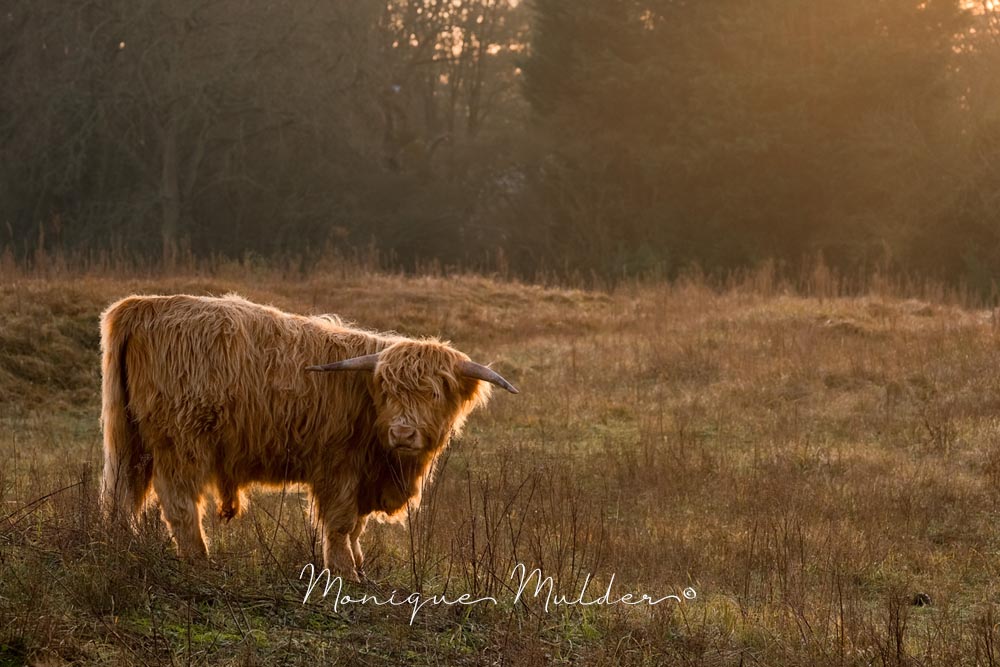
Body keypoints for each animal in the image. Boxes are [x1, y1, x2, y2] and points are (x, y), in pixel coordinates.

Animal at [98, 292, 520, 580]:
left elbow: (357, 526)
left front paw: (358, 565)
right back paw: (201, 561)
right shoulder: (338, 469)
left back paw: (121, 546)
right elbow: (341, 523)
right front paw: (345, 572)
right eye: (387, 391)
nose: (402, 431)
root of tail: (143, 305)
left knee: (123, 493)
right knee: (179, 501)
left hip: (130, 440)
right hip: (182, 442)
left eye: (433, 394)